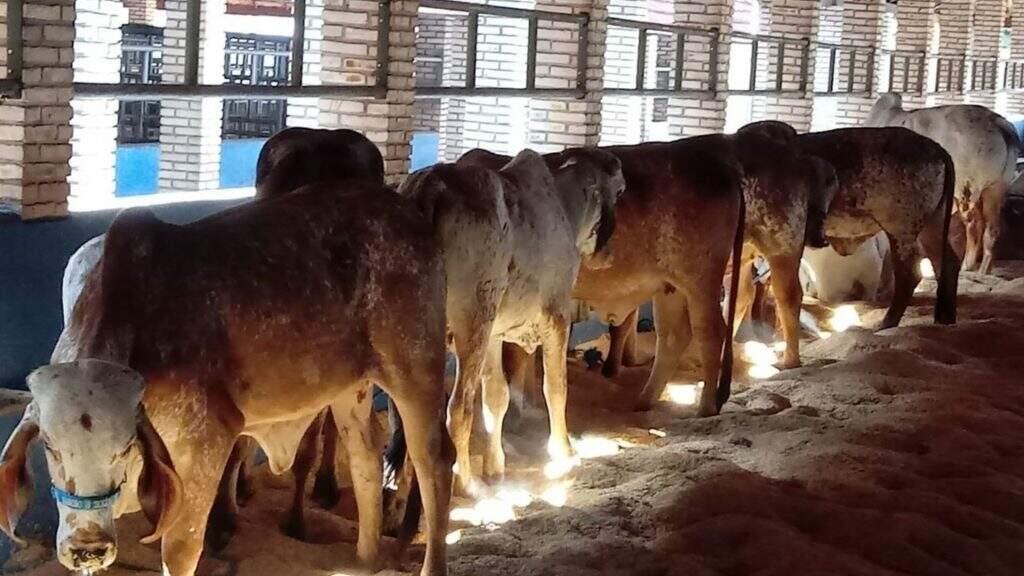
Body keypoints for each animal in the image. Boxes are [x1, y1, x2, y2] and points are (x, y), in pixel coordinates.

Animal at [7, 182, 448, 573]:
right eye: (49, 446)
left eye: (126, 444)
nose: (88, 547)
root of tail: (408, 213)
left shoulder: (207, 441)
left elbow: (180, 548)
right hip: (351, 387)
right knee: (365, 455)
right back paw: (365, 560)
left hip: (416, 368)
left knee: (434, 462)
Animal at [397, 148, 622, 494]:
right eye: (618, 192)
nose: (608, 253)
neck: (563, 205)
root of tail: (430, 184)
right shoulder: (556, 317)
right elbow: (556, 387)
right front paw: (563, 450)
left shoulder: (494, 335)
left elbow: (496, 398)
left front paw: (495, 466)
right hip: (472, 324)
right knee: (459, 410)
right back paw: (466, 483)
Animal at [462, 139, 745, 416]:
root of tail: (724, 170)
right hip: (671, 287)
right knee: (674, 336)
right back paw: (645, 401)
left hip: (701, 282)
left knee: (711, 332)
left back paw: (705, 407)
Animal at [868, 92, 1019, 272]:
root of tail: (996, 122)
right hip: (995, 189)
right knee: (992, 229)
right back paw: (983, 269)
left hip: (966, 190)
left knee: (974, 225)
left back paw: (966, 265)